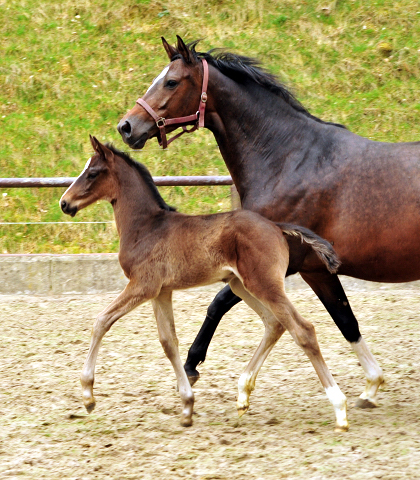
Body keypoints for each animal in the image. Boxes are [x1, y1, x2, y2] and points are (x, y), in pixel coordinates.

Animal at [59, 136, 348, 432]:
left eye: (92, 173)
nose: (64, 203)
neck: (147, 227)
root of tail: (276, 227)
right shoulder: (161, 292)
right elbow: (168, 341)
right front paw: (187, 406)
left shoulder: (143, 285)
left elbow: (101, 321)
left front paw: (88, 396)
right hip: (241, 286)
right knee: (274, 324)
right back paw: (243, 396)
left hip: (264, 285)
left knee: (303, 330)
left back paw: (339, 409)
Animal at [118, 35, 420, 406]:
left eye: (172, 81)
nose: (126, 127)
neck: (288, 159)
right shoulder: (314, 269)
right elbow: (346, 321)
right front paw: (371, 385)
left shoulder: (279, 264)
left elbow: (218, 303)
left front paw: (191, 365)